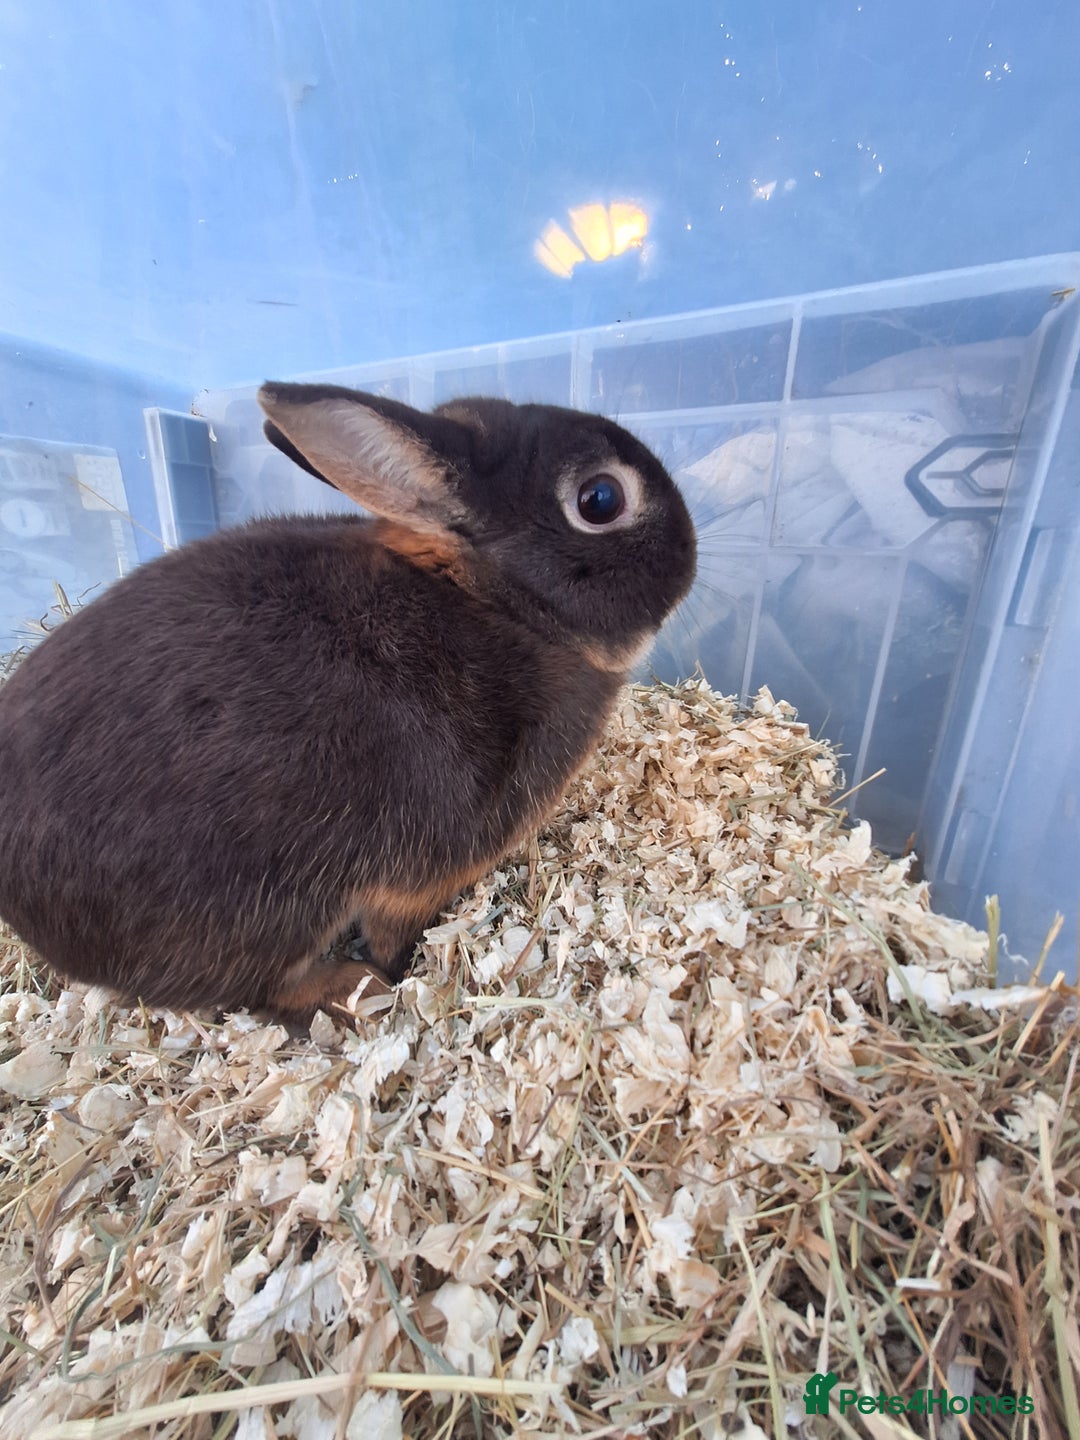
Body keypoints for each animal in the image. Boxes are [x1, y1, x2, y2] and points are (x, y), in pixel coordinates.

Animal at [0, 385, 696, 1026]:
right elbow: (393, 924)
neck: (505, 607)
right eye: (600, 499)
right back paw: (362, 990)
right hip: (261, 913)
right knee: (263, 990)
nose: (692, 550)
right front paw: (395, 966)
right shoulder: (431, 865)